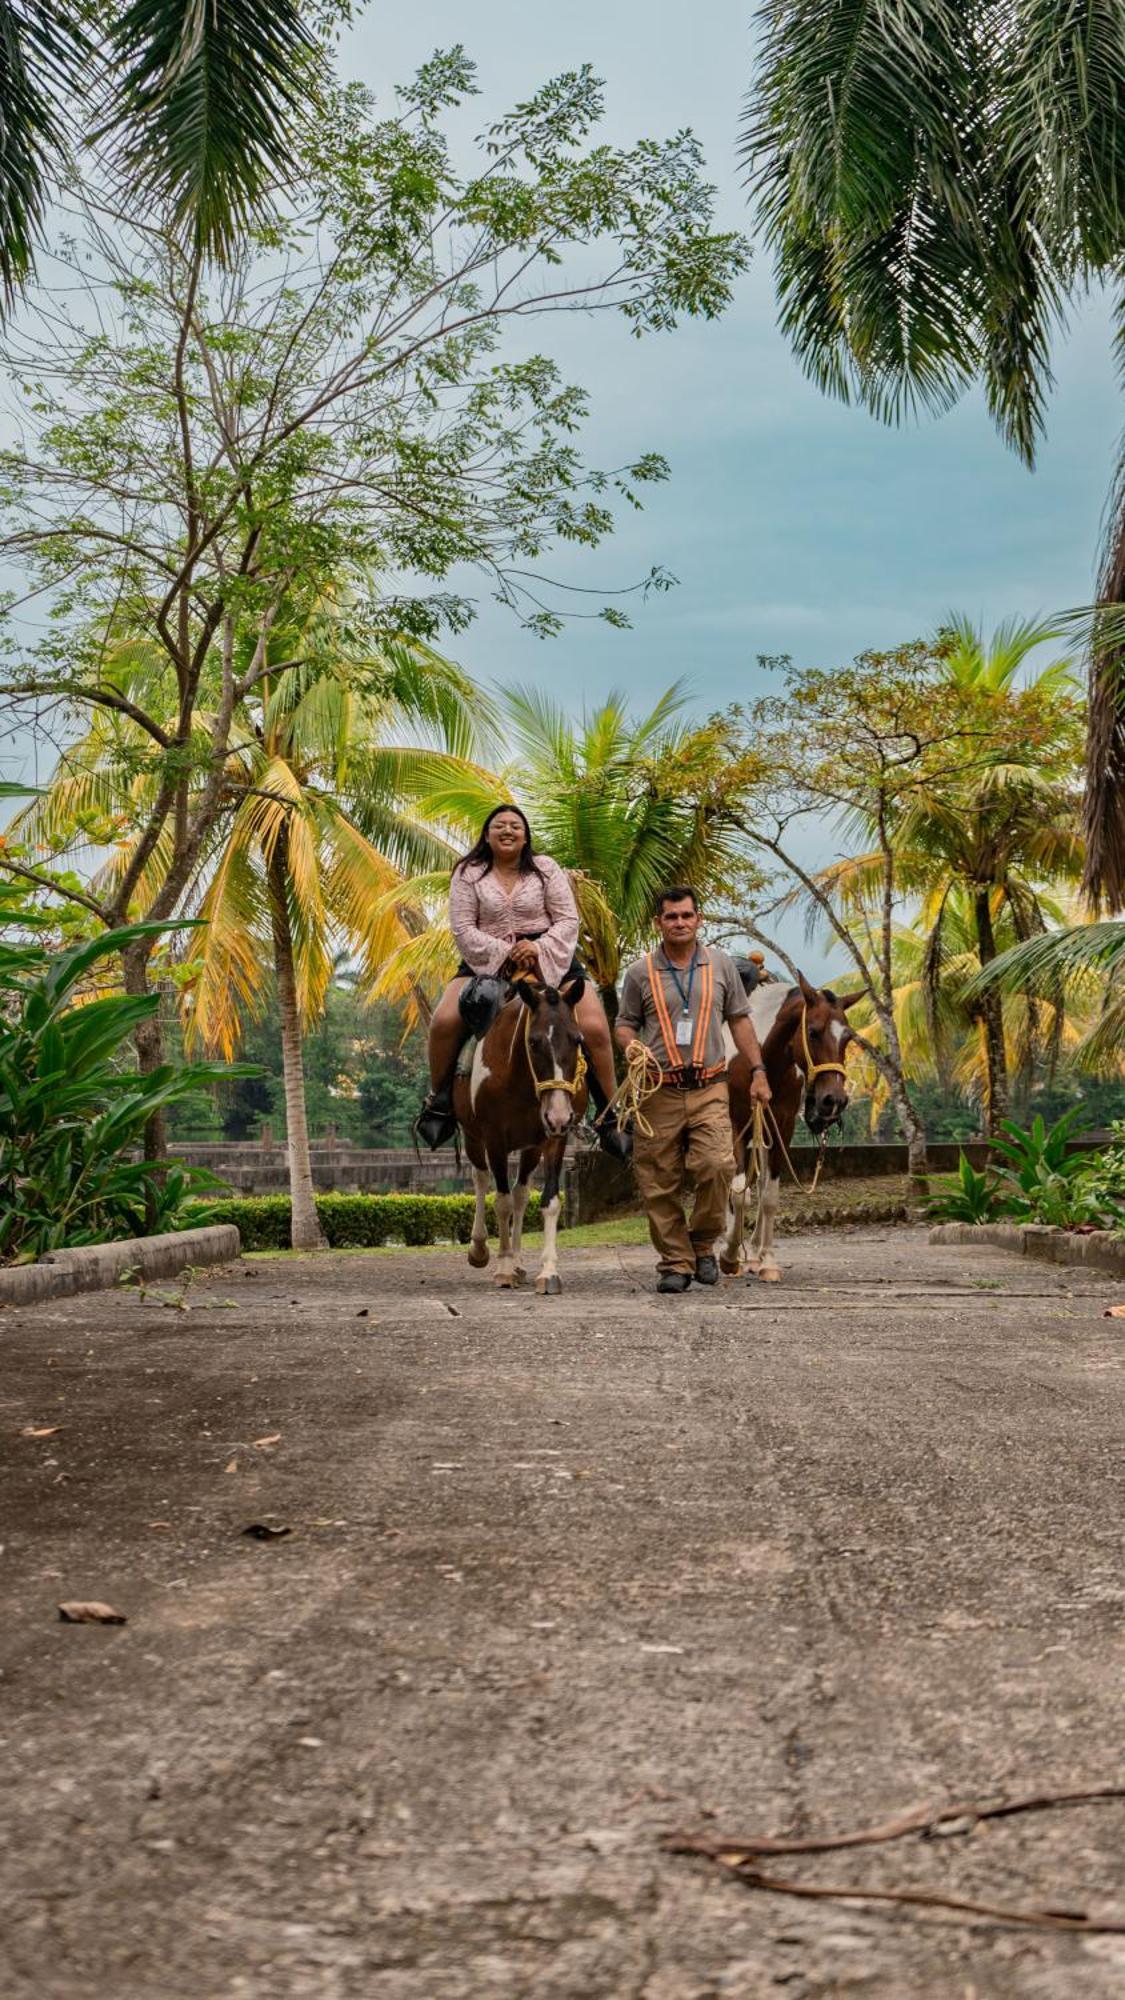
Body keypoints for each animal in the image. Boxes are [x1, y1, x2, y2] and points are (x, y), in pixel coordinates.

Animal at [450, 984, 588, 1296]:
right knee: (480, 1178)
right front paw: (503, 1268)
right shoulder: (494, 1138)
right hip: (473, 1137)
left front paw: (548, 1271)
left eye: (577, 1040)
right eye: (534, 1042)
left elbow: (548, 1202)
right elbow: (501, 1202)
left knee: (521, 1193)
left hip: (531, 1148)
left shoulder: (553, 1139)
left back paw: (519, 1262)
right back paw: (481, 1250)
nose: (560, 1115)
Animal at [716, 972, 856, 1280]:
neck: (761, 1057)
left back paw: (753, 1254)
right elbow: (738, 1193)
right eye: (813, 1032)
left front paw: (767, 1260)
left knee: (759, 1183)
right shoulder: (734, 1123)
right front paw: (729, 1255)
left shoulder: (782, 1125)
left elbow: (768, 1195)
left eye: (848, 1038)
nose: (834, 1100)